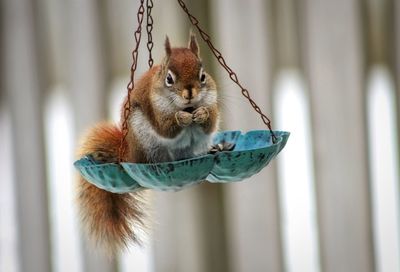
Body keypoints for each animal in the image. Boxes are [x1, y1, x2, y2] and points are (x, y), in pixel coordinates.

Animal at [75, 34, 219, 255]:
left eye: (203, 75)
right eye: (169, 79)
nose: (190, 93)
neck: (188, 106)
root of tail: (128, 154)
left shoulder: (212, 100)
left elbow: (211, 120)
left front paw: (203, 114)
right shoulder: (155, 109)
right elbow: (165, 128)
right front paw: (181, 118)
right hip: (144, 138)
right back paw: (157, 164)